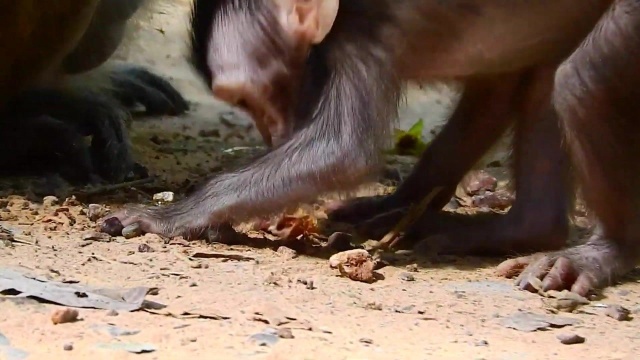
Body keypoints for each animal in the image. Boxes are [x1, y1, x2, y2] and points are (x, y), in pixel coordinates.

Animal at [106, 0, 640, 296]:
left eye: (244, 98)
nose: (273, 135)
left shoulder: (362, 37)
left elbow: (343, 151)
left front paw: (174, 215)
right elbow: (499, 82)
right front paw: (398, 206)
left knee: (581, 76)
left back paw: (607, 251)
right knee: (549, 71)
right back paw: (527, 228)